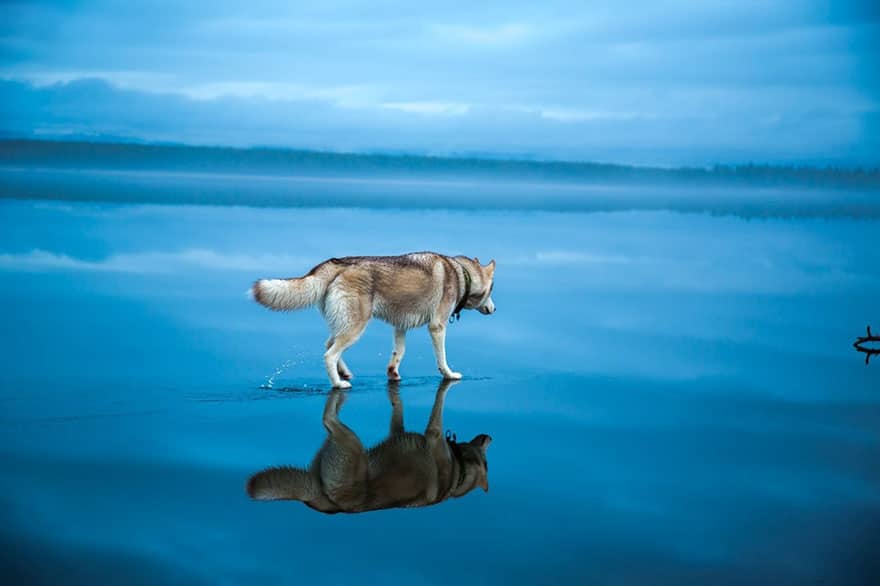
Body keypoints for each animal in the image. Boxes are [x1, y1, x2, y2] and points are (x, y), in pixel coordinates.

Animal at [248, 378, 492, 512]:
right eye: (487, 464)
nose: (488, 438)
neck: (458, 473)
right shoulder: (434, 435)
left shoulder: (397, 431)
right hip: (351, 443)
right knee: (328, 416)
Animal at [251, 251, 496, 388]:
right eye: (492, 289)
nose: (494, 309)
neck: (462, 274)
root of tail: (337, 262)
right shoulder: (437, 326)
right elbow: (442, 359)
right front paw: (449, 374)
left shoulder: (400, 327)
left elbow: (398, 354)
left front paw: (393, 375)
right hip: (355, 328)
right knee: (329, 354)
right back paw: (338, 383)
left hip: (345, 324)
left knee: (328, 344)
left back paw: (344, 372)